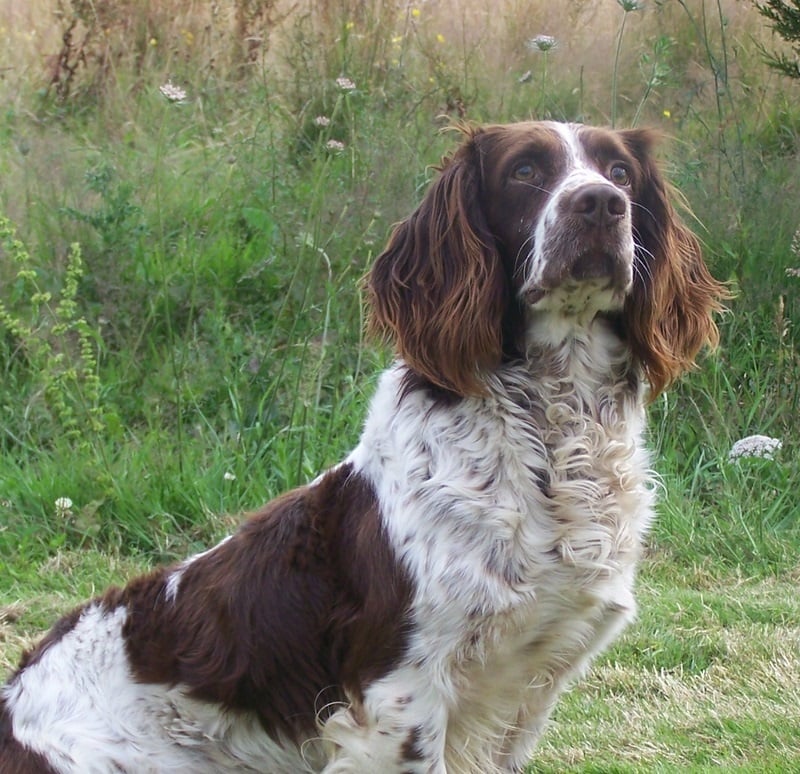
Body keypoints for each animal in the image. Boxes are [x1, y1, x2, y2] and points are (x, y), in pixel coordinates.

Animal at [0, 123, 724, 774]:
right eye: (524, 171)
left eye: (620, 171)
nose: (601, 203)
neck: (552, 433)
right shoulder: (402, 690)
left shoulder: (531, 680)